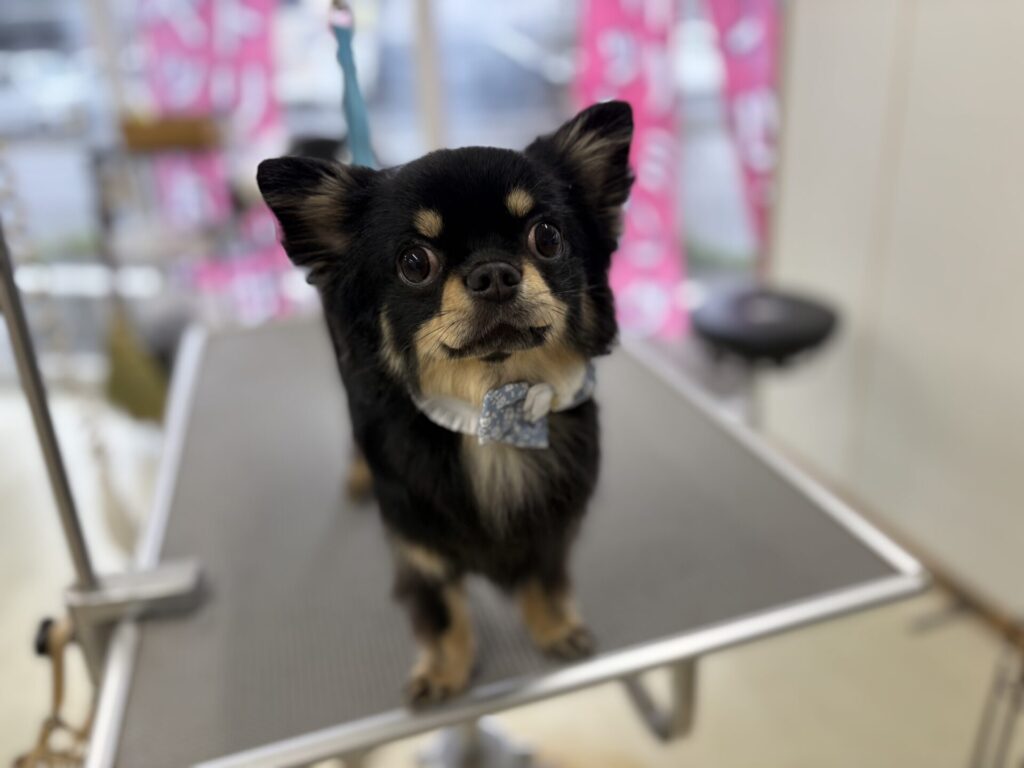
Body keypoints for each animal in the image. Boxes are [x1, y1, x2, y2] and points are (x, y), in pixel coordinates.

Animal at [257, 100, 633, 705]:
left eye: (547, 237)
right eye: (415, 262)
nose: (493, 272)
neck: (490, 411)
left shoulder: (554, 523)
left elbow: (543, 574)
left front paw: (553, 626)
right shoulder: (418, 543)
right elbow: (443, 610)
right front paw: (445, 670)